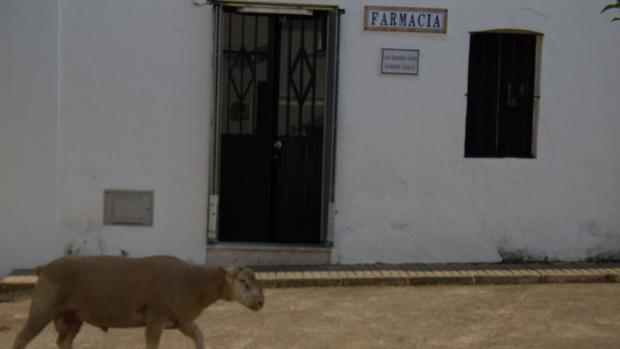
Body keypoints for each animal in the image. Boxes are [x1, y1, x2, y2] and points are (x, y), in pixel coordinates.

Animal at [12, 253, 264, 348]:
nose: (261, 302)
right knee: (21, 338)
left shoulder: (181, 320)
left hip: (72, 316)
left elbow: (199, 336)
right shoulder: (156, 316)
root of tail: (44, 268)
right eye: (243, 281)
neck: (196, 284)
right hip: (43, 307)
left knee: (64, 342)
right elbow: (152, 345)